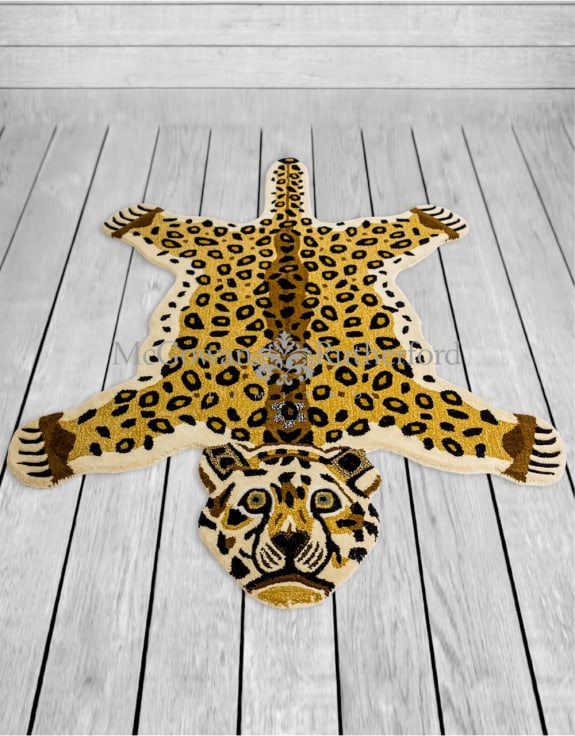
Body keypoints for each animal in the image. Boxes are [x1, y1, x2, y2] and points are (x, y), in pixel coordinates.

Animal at [8, 157, 565, 608]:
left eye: (326, 503)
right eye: (254, 504)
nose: (292, 544)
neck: (290, 421)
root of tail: (287, 224)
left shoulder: (395, 395)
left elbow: (459, 427)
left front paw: (526, 442)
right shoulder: (177, 396)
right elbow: (115, 423)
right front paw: (48, 443)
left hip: (355, 248)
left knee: (394, 230)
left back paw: (434, 218)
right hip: (218, 247)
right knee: (179, 230)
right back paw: (138, 217)